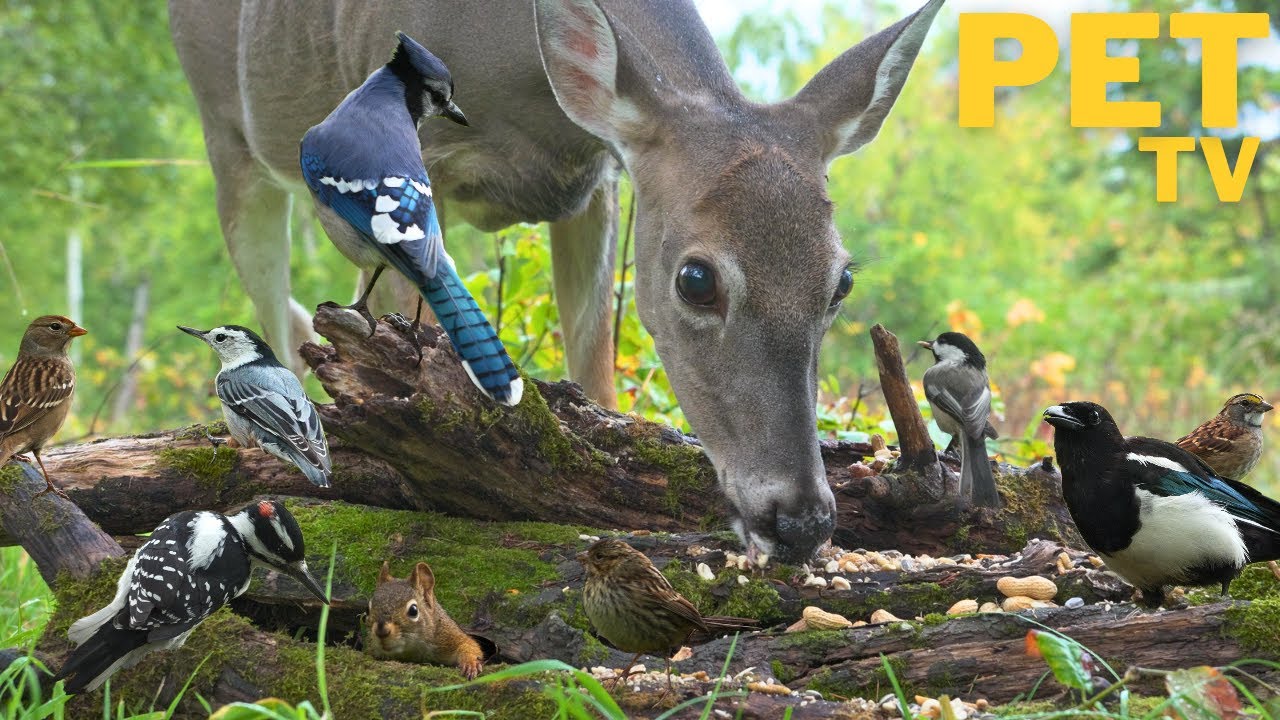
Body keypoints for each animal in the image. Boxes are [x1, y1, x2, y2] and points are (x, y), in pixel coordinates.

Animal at [167, 0, 945, 563]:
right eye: (696, 279)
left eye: (841, 282)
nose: (801, 522)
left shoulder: (594, 179)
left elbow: (593, 356)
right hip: (226, 133)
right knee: (267, 293)